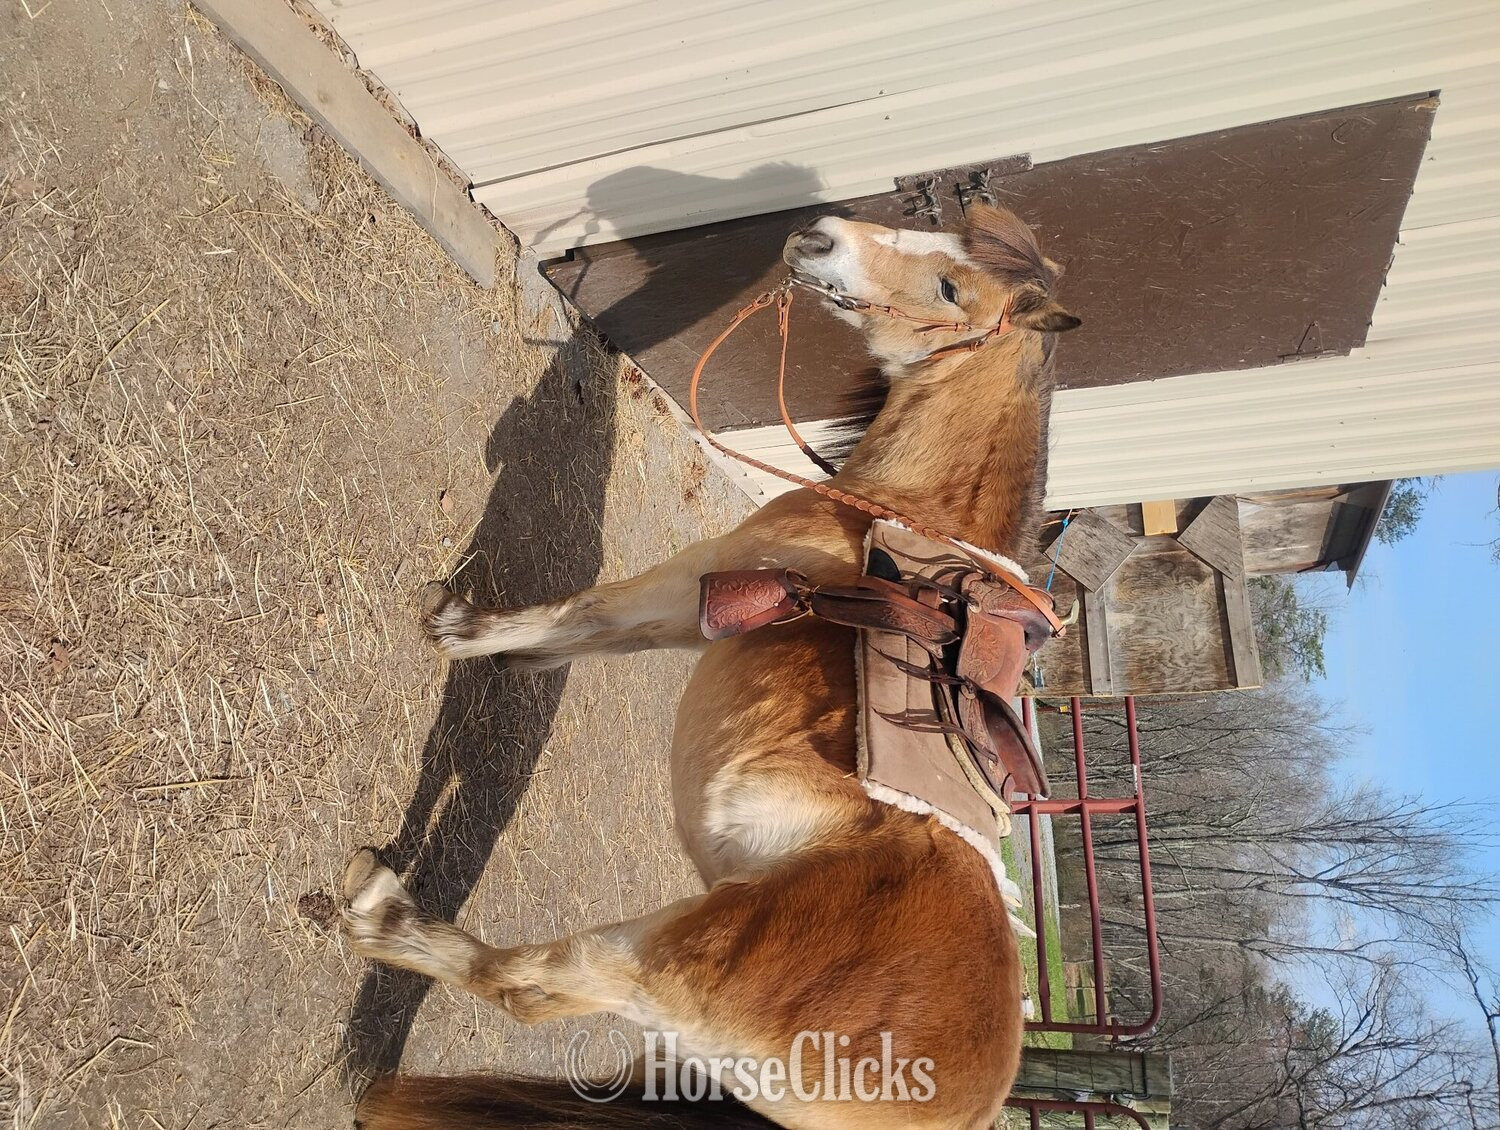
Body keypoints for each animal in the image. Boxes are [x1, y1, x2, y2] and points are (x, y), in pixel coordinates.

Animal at [341, 203, 1081, 1129]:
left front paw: (461, 629)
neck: (904, 514)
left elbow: (587, 611)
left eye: (952, 287)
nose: (820, 236)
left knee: (521, 984)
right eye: (930, 222)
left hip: (654, 958)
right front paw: (517, 658)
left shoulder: (691, 582)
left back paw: (380, 918)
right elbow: (591, 638)